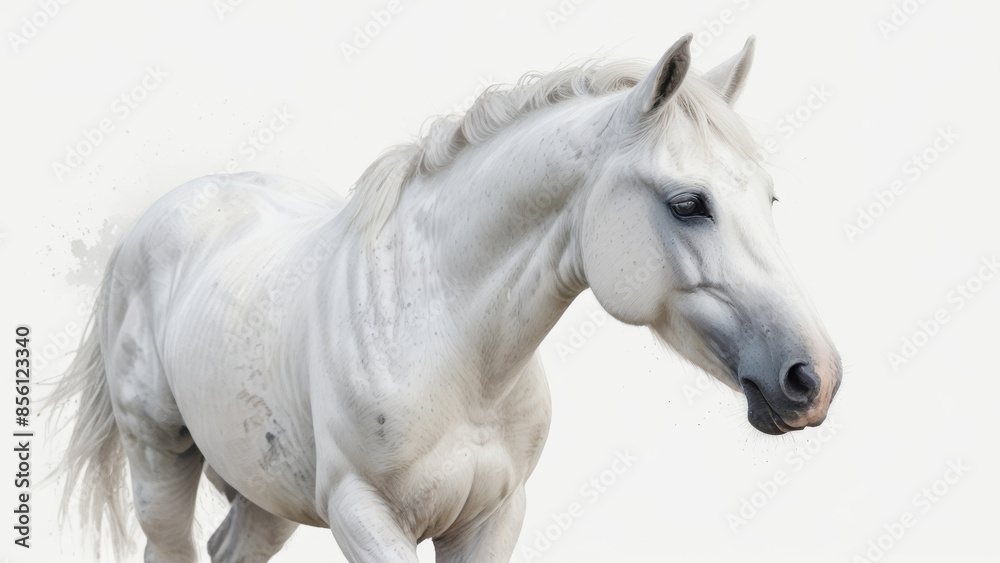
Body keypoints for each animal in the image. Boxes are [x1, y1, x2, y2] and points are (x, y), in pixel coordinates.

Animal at [52, 34, 842, 562]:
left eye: (770, 198)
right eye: (687, 204)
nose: (814, 377)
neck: (449, 349)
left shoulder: (492, 519)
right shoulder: (362, 514)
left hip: (264, 490)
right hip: (160, 461)